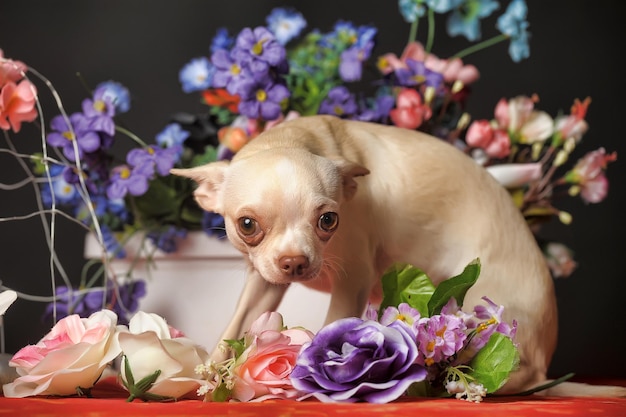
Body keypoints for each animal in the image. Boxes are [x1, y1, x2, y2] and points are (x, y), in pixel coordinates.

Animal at [172, 115, 624, 394]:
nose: (296, 262)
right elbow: (234, 327)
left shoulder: (352, 279)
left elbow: (331, 328)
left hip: (482, 314)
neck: (299, 137)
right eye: (247, 225)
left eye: (329, 220)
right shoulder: (264, 281)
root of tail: (545, 364)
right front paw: (209, 376)